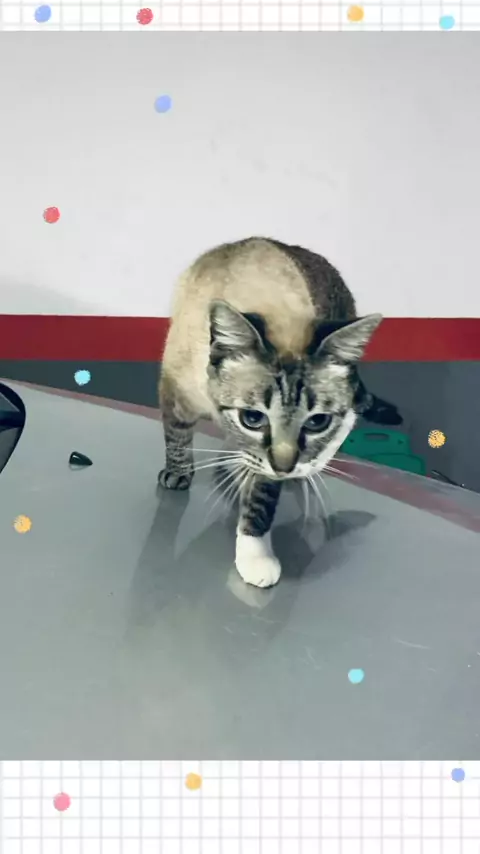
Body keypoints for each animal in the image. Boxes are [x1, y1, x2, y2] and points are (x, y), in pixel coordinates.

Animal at [158, 237, 398, 589]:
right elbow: (176, 438)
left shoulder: (274, 462)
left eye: (317, 422)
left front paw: (255, 558)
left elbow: (260, 502)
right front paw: (177, 474)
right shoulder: (176, 394)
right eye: (253, 418)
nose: (287, 468)